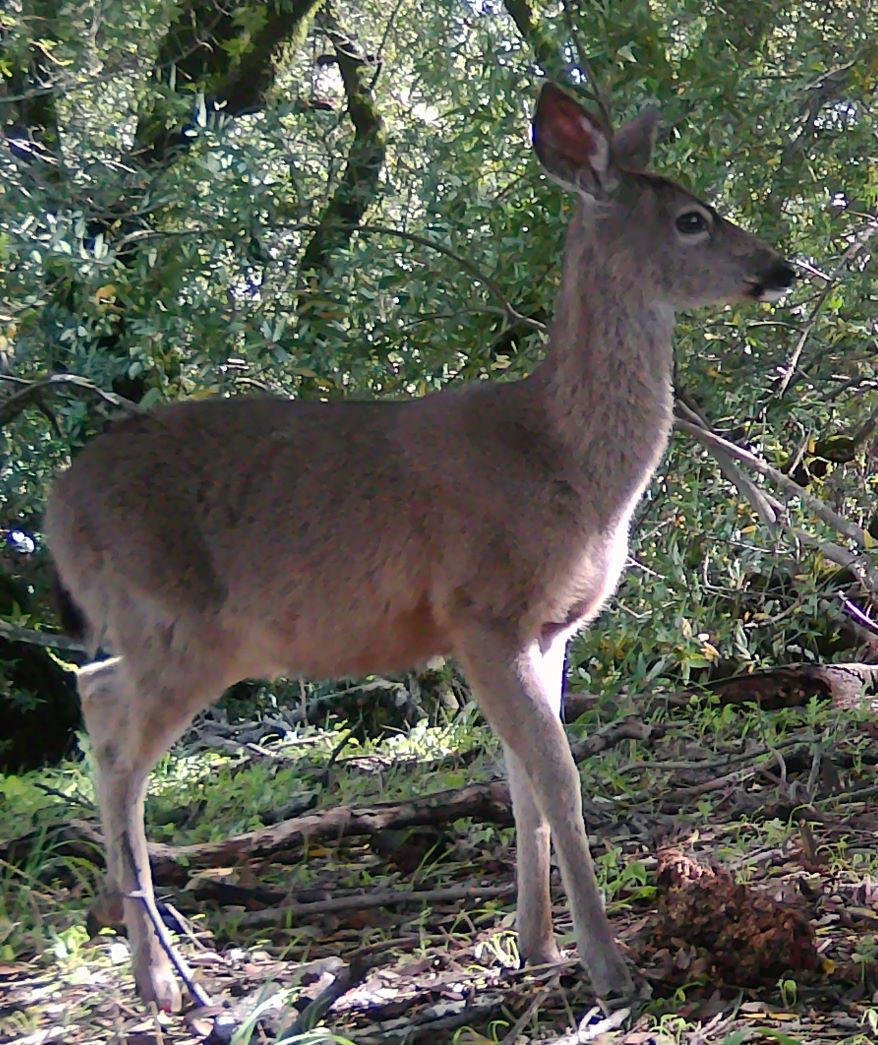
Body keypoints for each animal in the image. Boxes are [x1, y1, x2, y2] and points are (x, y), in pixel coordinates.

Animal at [45, 81, 795, 1014]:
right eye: (692, 219)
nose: (781, 268)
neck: (563, 458)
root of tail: (55, 507)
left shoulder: (549, 626)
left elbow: (520, 781)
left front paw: (537, 947)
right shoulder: (481, 606)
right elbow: (559, 776)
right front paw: (608, 964)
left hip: (157, 628)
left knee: (93, 691)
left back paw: (141, 948)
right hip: (183, 620)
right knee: (118, 746)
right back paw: (160, 978)